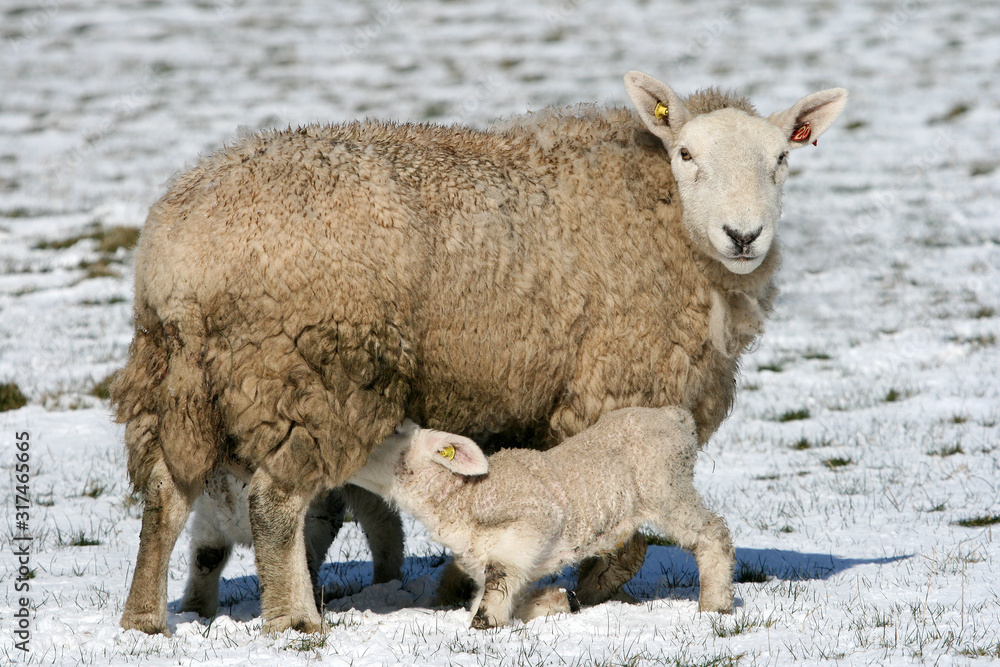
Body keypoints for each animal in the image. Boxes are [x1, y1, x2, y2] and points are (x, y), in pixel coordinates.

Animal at [348, 407, 734, 629]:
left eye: (395, 432)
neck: (466, 497)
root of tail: (675, 416)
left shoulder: (534, 521)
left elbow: (500, 574)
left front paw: (486, 621)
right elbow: (503, 591)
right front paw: (555, 600)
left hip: (667, 489)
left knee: (713, 534)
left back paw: (715, 604)